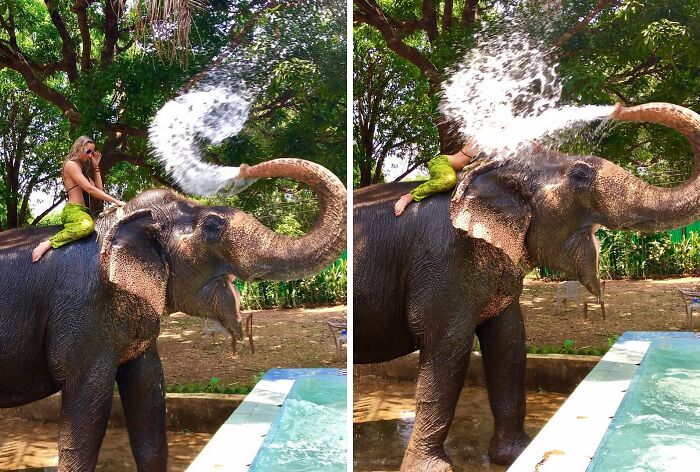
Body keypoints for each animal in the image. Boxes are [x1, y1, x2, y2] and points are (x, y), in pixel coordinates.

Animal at [353, 102, 700, 471]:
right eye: (580, 175)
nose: (620, 108)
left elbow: (509, 341)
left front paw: (515, 454)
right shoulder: (441, 261)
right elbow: (448, 346)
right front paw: (432, 469)